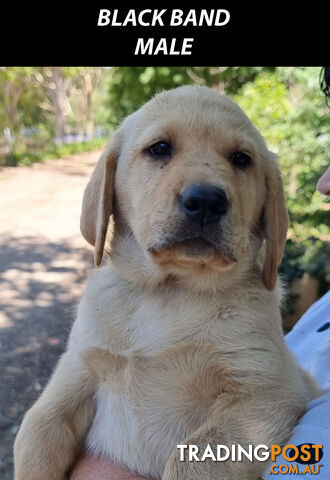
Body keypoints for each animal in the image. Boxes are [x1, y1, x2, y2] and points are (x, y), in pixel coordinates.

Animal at [13, 87, 320, 480]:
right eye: (159, 148)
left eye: (241, 159)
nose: (206, 200)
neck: (167, 292)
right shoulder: (75, 372)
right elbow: (37, 435)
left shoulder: (264, 395)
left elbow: (190, 459)